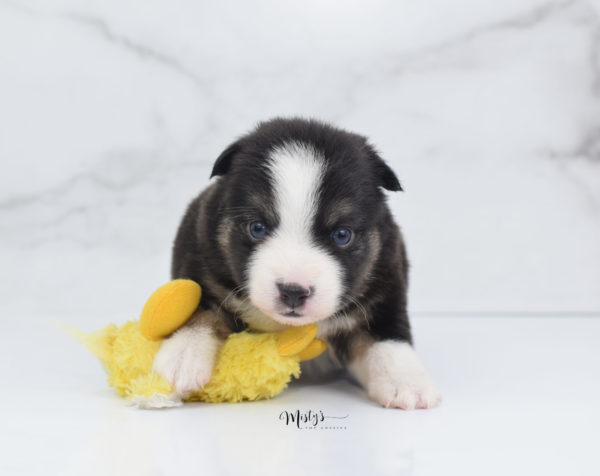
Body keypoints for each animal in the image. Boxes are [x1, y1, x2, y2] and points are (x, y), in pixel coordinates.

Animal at [152, 116, 442, 410]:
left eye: (342, 235)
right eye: (257, 228)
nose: (293, 292)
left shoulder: (386, 279)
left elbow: (386, 335)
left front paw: (407, 382)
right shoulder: (200, 256)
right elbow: (201, 308)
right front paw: (183, 356)